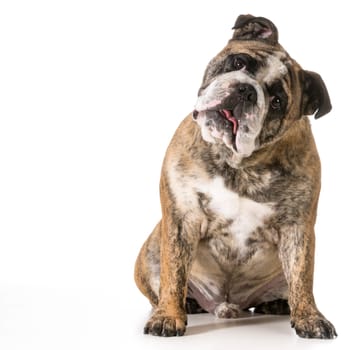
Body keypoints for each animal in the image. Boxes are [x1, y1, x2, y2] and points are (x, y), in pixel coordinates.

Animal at [134, 14, 336, 340]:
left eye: (277, 101)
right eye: (239, 62)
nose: (246, 90)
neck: (238, 162)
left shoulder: (298, 228)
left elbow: (303, 276)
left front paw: (310, 317)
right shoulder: (181, 218)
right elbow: (173, 275)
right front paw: (168, 316)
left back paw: (279, 304)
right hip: (151, 250)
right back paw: (187, 304)